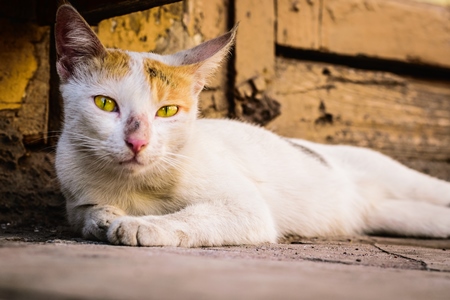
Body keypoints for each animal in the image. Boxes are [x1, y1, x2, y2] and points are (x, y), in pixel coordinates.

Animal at [53, 4, 450, 247]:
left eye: (167, 111)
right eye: (106, 104)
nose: (138, 142)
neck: (134, 186)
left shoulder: (246, 208)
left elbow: (200, 214)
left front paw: (143, 224)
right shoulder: (75, 195)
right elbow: (86, 213)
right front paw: (106, 218)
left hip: (398, 177)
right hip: (395, 214)